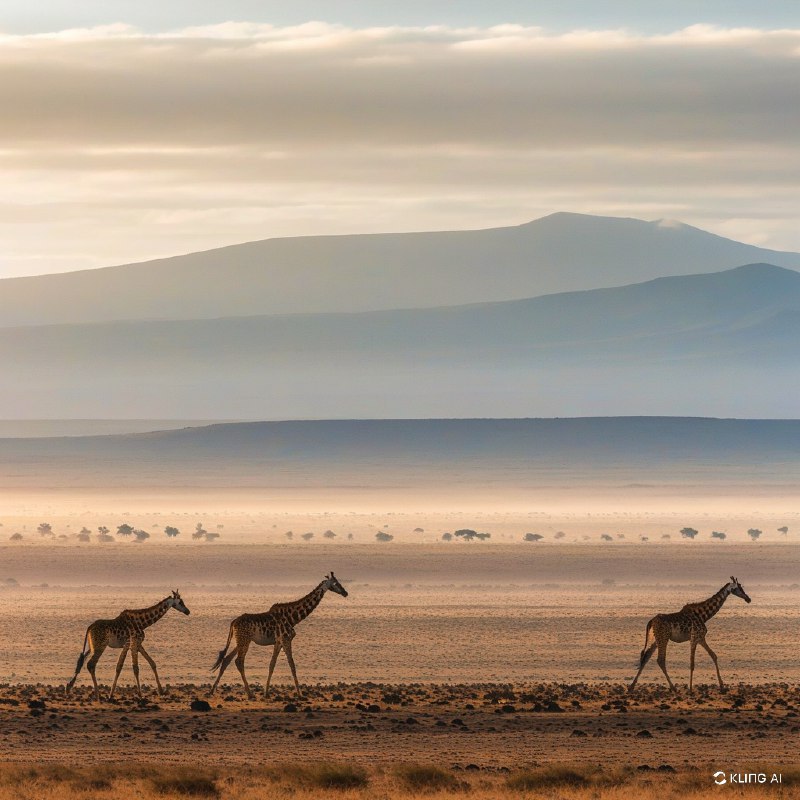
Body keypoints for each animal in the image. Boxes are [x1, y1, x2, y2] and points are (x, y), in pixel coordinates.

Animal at [209, 573, 348, 699]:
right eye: (335, 583)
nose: (345, 593)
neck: (293, 618)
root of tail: (233, 622)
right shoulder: (286, 639)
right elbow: (292, 665)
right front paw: (300, 694)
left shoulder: (278, 641)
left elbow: (272, 665)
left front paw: (266, 693)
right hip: (244, 640)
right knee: (239, 661)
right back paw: (249, 694)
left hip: (240, 640)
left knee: (226, 659)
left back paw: (212, 691)